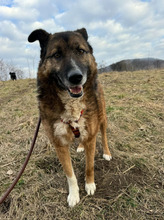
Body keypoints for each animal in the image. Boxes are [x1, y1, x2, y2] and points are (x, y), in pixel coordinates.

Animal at [28, 27, 113, 206]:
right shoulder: (59, 144)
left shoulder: (91, 136)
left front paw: (89, 184)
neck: (71, 103)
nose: (76, 77)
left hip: (102, 118)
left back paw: (106, 152)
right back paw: (80, 146)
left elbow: (89, 165)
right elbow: (70, 174)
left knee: (103, 135)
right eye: (56, 55)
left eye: (80, 51)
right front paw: (74, 195)